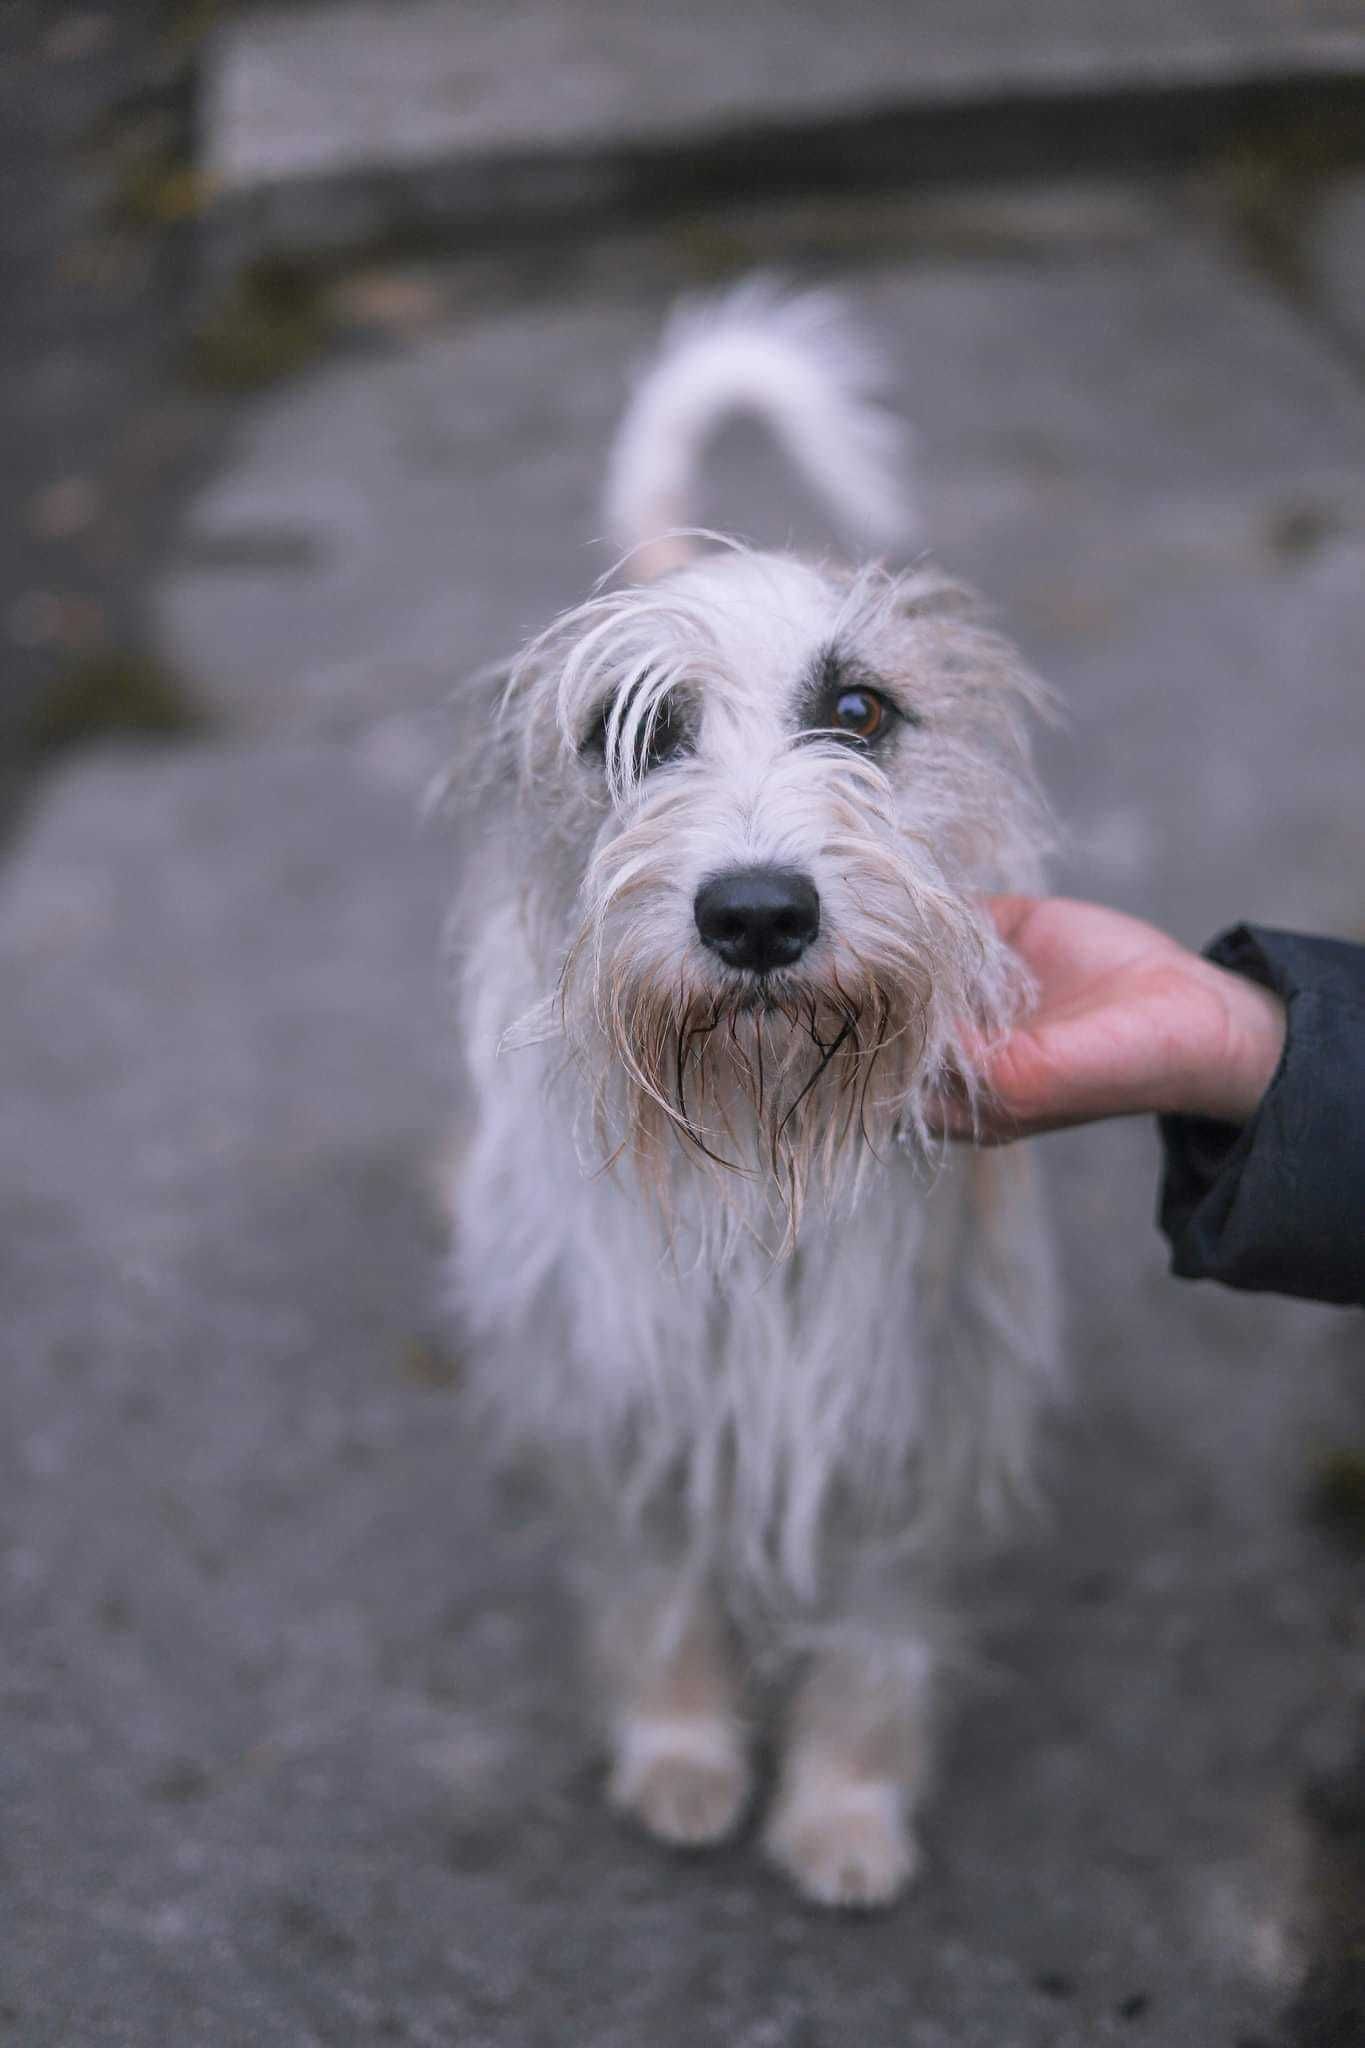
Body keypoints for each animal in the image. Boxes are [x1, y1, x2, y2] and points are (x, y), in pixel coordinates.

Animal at [448, 284, 1055, 1900]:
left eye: (860, 707)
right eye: (635, 731)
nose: (759, 912)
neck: (758, 1149)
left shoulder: (914, 1412)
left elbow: (880, 1638)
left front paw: (845, 1808)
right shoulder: (622, 1396)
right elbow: (655, 1591)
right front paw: (681, 1756)